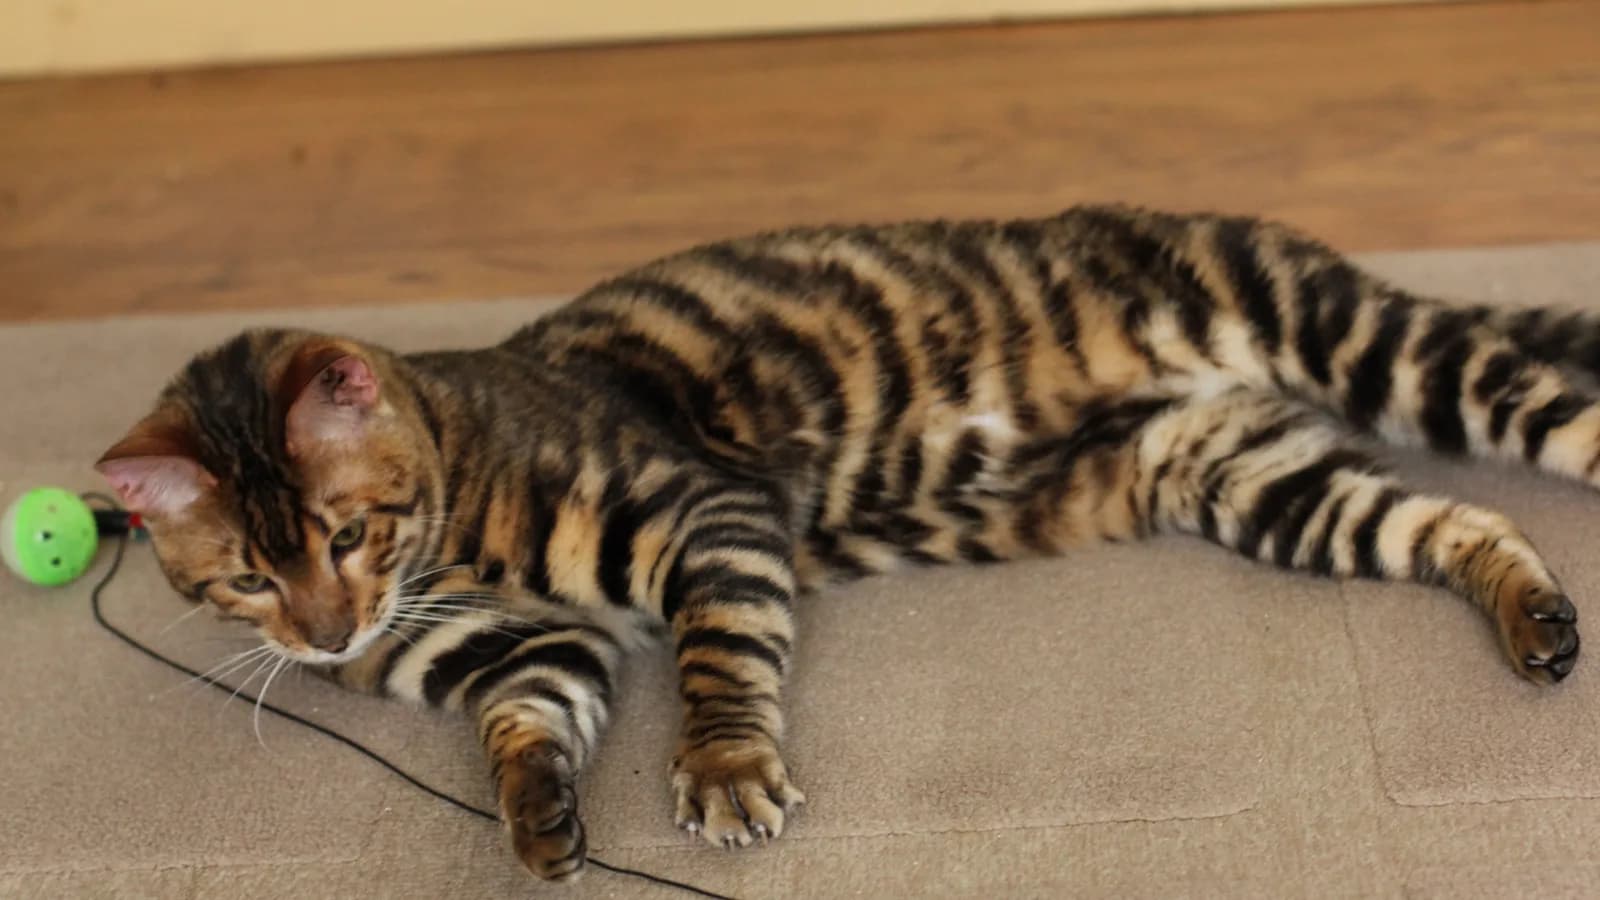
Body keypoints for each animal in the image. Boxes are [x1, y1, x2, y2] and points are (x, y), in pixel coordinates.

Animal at [96, 205, 1586, 881]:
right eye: (250, 577)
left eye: (351, 531)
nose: (328, 636)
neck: (452, 563)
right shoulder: (531, 658)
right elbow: (523, 734)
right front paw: (541, 823)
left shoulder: (708, 514)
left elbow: (717, 666)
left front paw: (727, 774)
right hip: (1254, 478)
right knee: (1463, 516)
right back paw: (1537, 620)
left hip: (1370, 348)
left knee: (1556, 421)